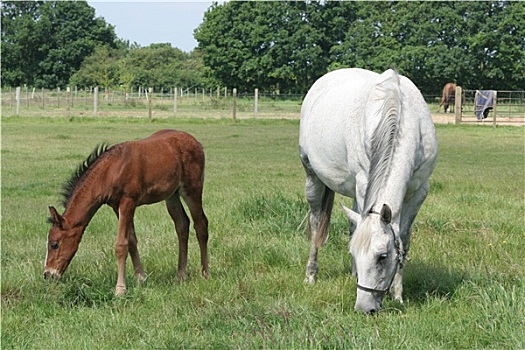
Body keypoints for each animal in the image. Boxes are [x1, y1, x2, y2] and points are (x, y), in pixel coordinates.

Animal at [44, 130, 209, 294]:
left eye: (54, 244)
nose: (48, 275)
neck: (111, 170)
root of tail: (195, 142)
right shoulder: (116, 206)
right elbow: (131, 240)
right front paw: (140, 279)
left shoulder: (128, 202)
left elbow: (121, 245)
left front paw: (120, 289)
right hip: (172, 195)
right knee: (182, 224)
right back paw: (180, 275)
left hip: (192, 189)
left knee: (201, 224)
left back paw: (205, 273)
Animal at [298, 67, 438, 314]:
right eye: (354, 253)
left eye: (382, 257)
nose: (364, 308)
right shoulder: (365, 182)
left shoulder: (420, 190)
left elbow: (403, 239)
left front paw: (398, 295)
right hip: (312, 177)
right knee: (315, 223)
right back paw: (311, 274)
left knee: (353, 224)